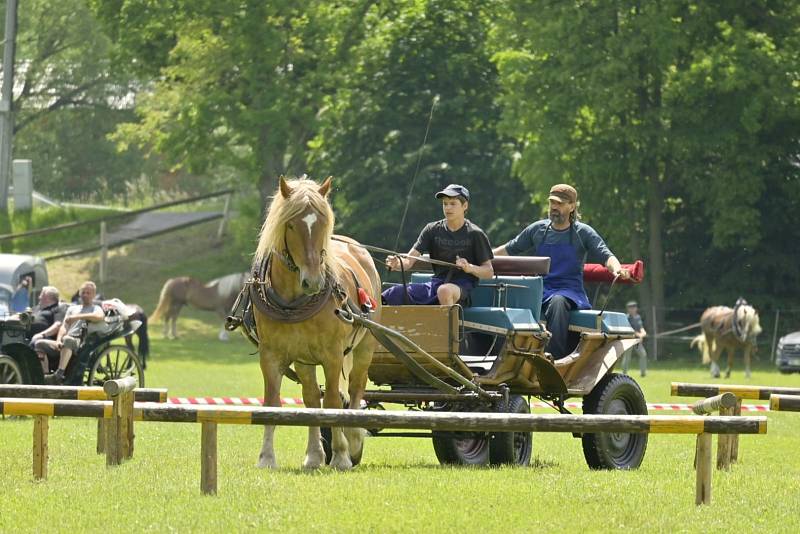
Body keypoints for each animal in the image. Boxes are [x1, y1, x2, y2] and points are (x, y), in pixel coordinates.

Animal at [255, 177, 382, 474]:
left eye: (323, 223)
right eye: (291, 224)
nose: (312, 281)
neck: (293, 302)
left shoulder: (333, 355)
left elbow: (334, 401)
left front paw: (341, 455)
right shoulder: (270, 355)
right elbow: (273, 403)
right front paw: (267, 457)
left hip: (365, 346)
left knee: (356, 388)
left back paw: (353, 439)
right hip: (304, 358)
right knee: (312, 397)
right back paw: (314, 455)